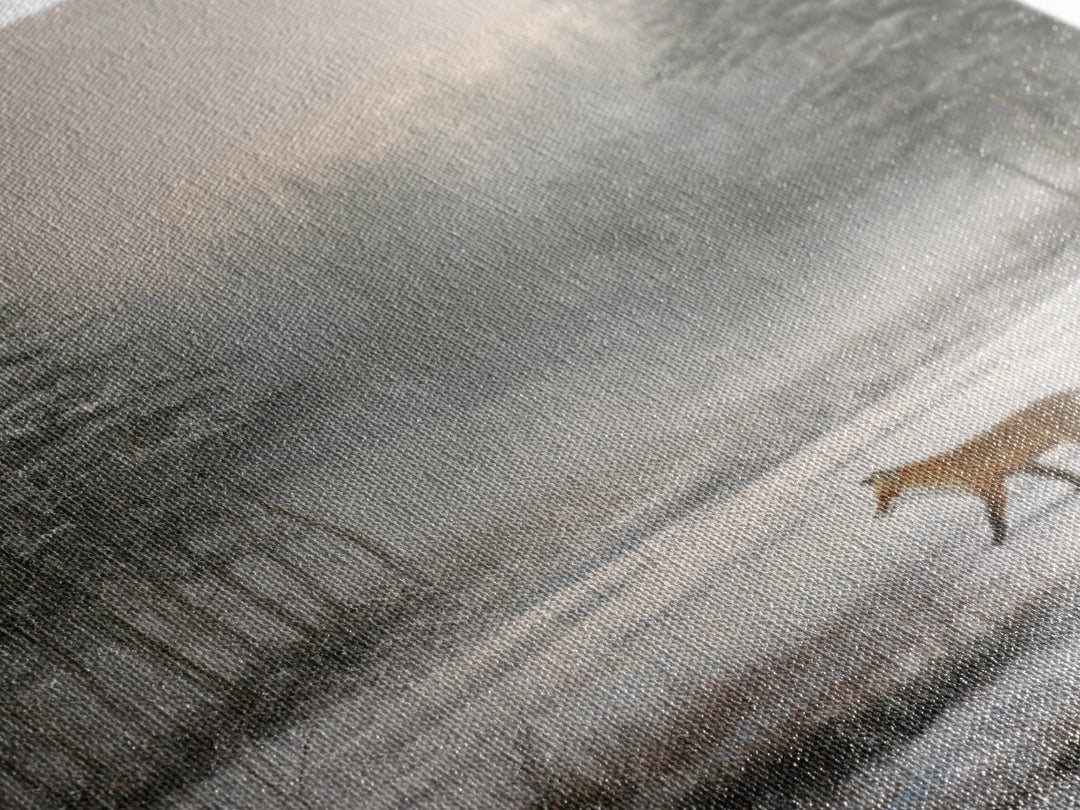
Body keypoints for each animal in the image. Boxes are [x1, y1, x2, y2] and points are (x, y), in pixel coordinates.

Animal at [864, 389, 1080, 544]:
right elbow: (1060, 473)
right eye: (877, 499)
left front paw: (998, 541)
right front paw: (1076, 484)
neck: (952, 469)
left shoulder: (992, 486)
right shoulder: (1015, 470)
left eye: (883, 497)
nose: (876, 515)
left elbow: (994, 518)